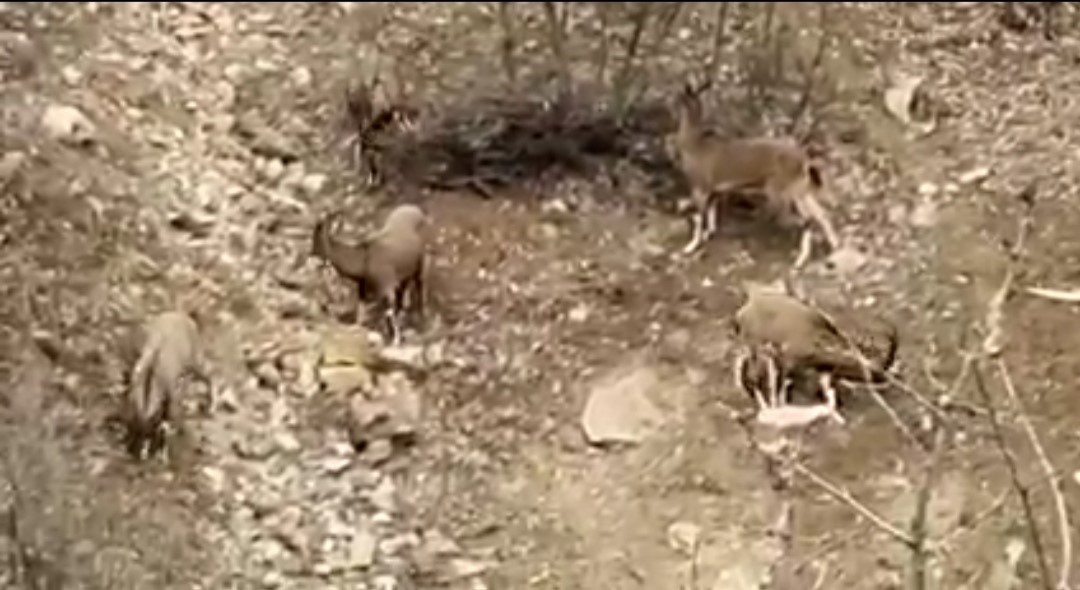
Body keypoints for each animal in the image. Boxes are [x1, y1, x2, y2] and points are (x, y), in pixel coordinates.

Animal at [311, 202, 427, 341]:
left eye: (318, 232)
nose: (311, 255)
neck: (363, 261)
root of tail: (417, 210)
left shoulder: (386, 286)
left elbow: (388, 312)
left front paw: (395, 340)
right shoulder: (363, 286)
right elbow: (361, 312)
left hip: (420, 264)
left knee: (419, 286)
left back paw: (420, 318)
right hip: (405, 275)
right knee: (403, 294)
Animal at [665, 77, 842, 265]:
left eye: (678, 97)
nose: (670, 101)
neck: (694, 145)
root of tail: (805, 161)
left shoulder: (700, 185)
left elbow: (700, 217)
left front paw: (689, 247)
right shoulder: (715, 190)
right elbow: (711, 214)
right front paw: (708, 235)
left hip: (780, 191)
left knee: (806, 220)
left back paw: (800, 261)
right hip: (801, 190)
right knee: (821, 214)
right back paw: (834, 247)